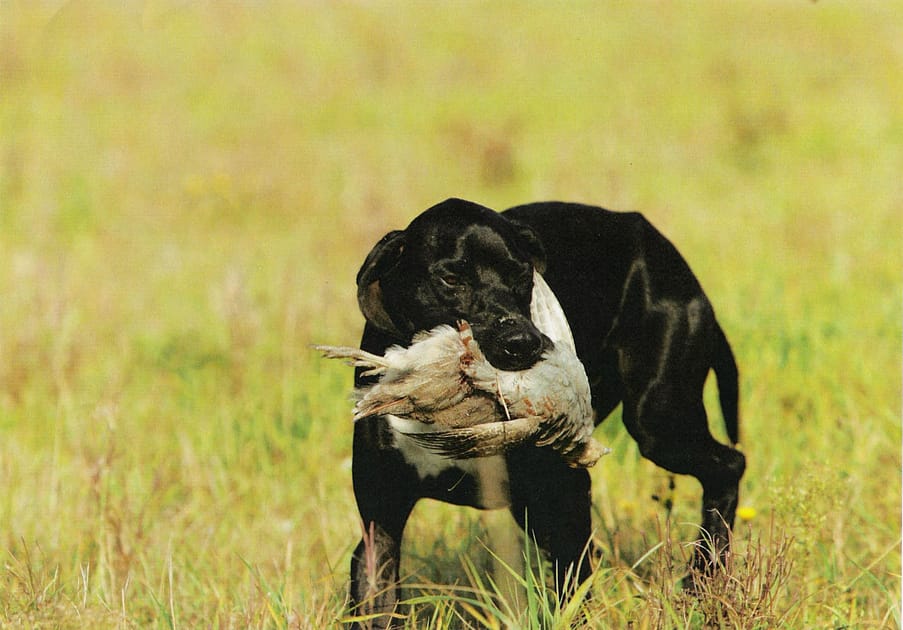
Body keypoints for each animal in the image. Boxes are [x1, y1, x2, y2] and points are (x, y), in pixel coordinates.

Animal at [348, 198, 745, 626]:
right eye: (451, 279)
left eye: (522, 274)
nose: (522, 342)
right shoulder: (380, 526)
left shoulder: (567, 493)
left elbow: (572, 595)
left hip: (659, 422)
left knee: (729, 465)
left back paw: (701, 582)